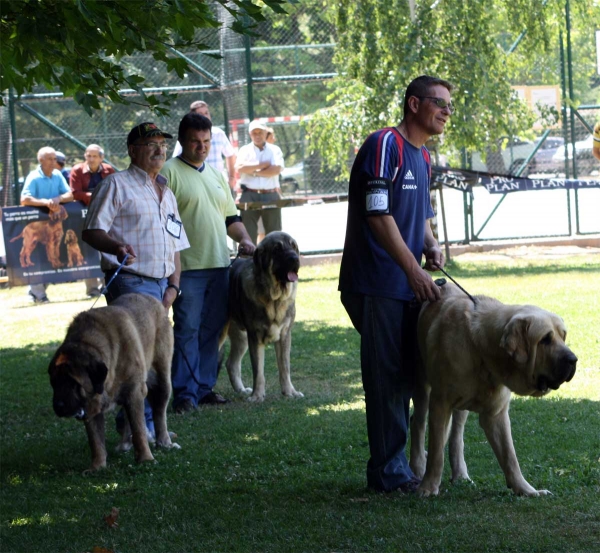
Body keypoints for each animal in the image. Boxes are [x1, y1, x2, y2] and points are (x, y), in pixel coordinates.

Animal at [48, 294, 180, 470]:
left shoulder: (135, 391)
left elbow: (139, 429)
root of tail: (154, 300)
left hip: (162, 381)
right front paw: (97, 466)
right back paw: (125, 444)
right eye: (54, 383)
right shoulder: (91, 404)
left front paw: (145, 459)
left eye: (74, 384)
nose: (58, 406)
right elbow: (95, 439)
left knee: (159, 413)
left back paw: (164, 442)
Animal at [408, 280, 576, 496]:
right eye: (545, 339)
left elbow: (509, 456)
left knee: (456, 436)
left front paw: (527, 490)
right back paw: (418, 466)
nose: (573, 359)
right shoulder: (440, 403)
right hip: (422, 388)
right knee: (418, 423)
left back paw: (460, 474)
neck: (482, 351)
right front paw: (428, 487)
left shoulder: (496, 414)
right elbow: (436, 451)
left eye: (563, 336)